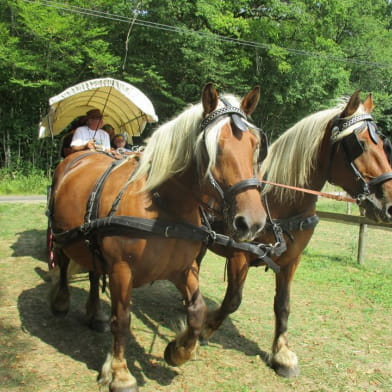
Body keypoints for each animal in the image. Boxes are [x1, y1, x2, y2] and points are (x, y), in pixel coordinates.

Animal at [46, 83, 266, 392]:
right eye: (216, 147)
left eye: (255, 146)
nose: (252, 222)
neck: (165, 209)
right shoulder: (121, 270)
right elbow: (122, 319)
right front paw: (120, 372)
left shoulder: (183, 268)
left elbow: (197, 311)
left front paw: (179, 350)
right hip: (62, 233)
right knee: (64, 263)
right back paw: (61, 302)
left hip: (91, 240)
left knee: (92, 272)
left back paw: (94, 313)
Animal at [199, 91, 392, 376]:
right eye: (360, 144)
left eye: (383, 144)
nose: (388, 203)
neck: (278, 202)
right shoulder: (239, 254)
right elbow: (233, 299)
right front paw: (205, 327)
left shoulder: (291, 260)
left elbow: (283, 304)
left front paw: (282, 353)